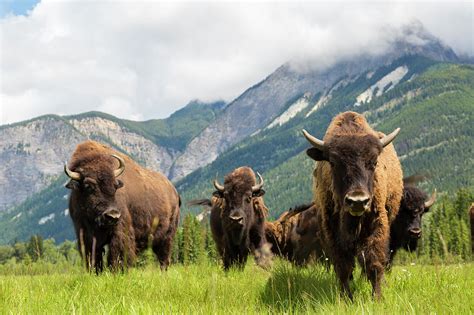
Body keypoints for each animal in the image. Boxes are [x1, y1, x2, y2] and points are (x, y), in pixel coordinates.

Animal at [65, 141, 180, 274]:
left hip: (167, 236)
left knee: (164, 257)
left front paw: (117, 272)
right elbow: (93, 256)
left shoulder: (120, 230)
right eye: (88, 186)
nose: (112, 215)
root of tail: (174, 192)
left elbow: (117, 253)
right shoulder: (85, 234)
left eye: (115, 186)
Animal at [302, 111, 402, 302]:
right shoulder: (332, 232)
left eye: (374, 162)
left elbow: (374, 263)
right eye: (333, 162)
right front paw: (346, 298)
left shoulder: (377, 225)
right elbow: (343, 266)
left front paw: (377, 298)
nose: (357, 201)